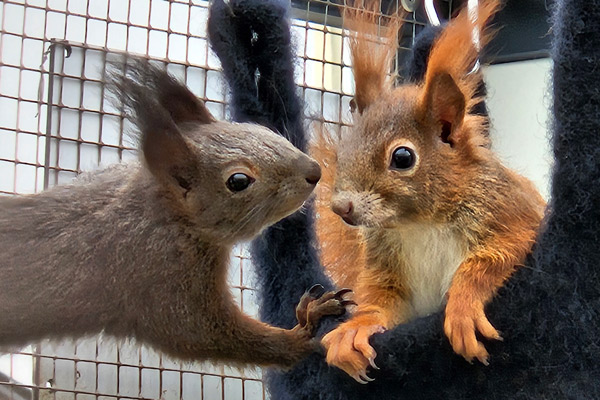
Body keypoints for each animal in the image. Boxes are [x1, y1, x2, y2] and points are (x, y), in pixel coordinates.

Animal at [0, 59, 352, 368]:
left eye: (259, 130)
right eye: (238, 181)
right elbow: (204, 335)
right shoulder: (162, 275)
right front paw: (304, 328)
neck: (164, 213)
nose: (314, 171)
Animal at [312, 0, 548, 382]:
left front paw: (464, 305)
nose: (341, 207)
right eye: (344, 147)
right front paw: (356, 328)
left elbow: (494, 258)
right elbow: (382, 300)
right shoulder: (386, 265)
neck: (420, 224)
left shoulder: (511, 216)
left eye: (403, 157)